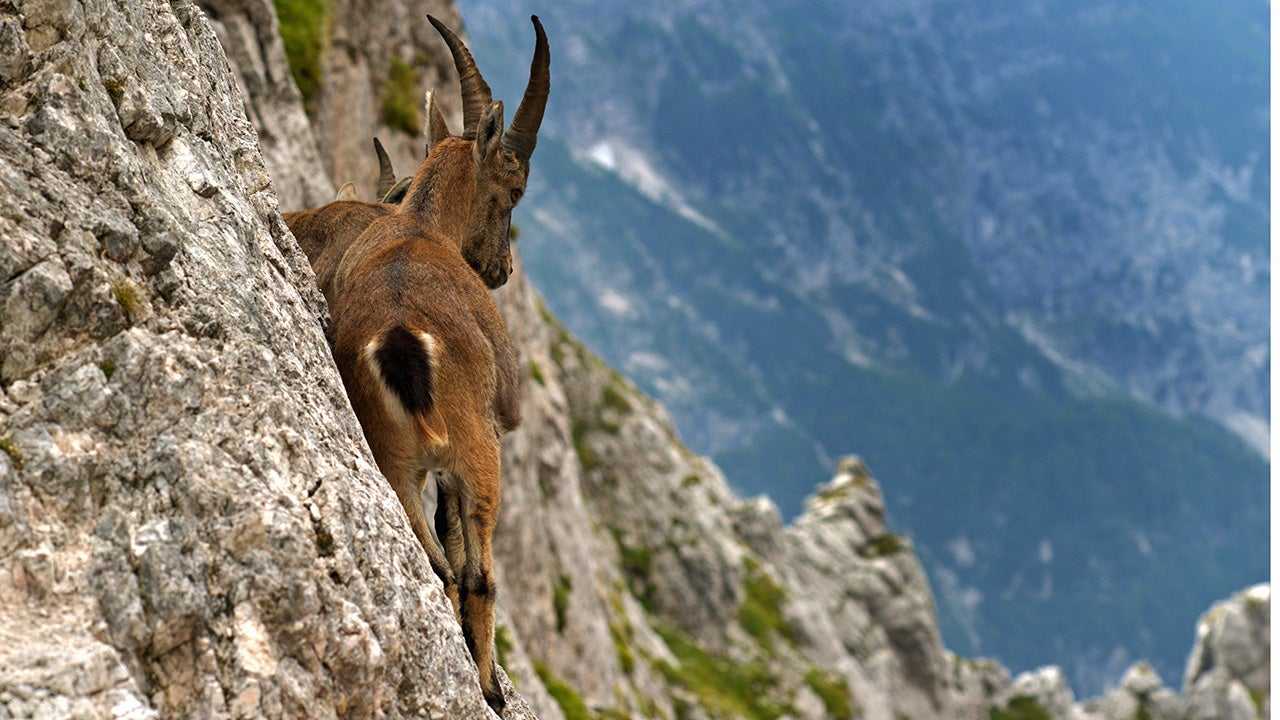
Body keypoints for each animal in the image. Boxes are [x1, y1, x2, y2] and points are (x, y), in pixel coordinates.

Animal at [289, 16, 549, 712]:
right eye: (515, 190)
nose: (500, 269)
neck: (418, 225)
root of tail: (403, 342)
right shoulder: (488, 433)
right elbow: (465, 549)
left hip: (396, 460)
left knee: (435, 560)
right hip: (480, 457)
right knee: (476, 573)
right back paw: (487, 688)